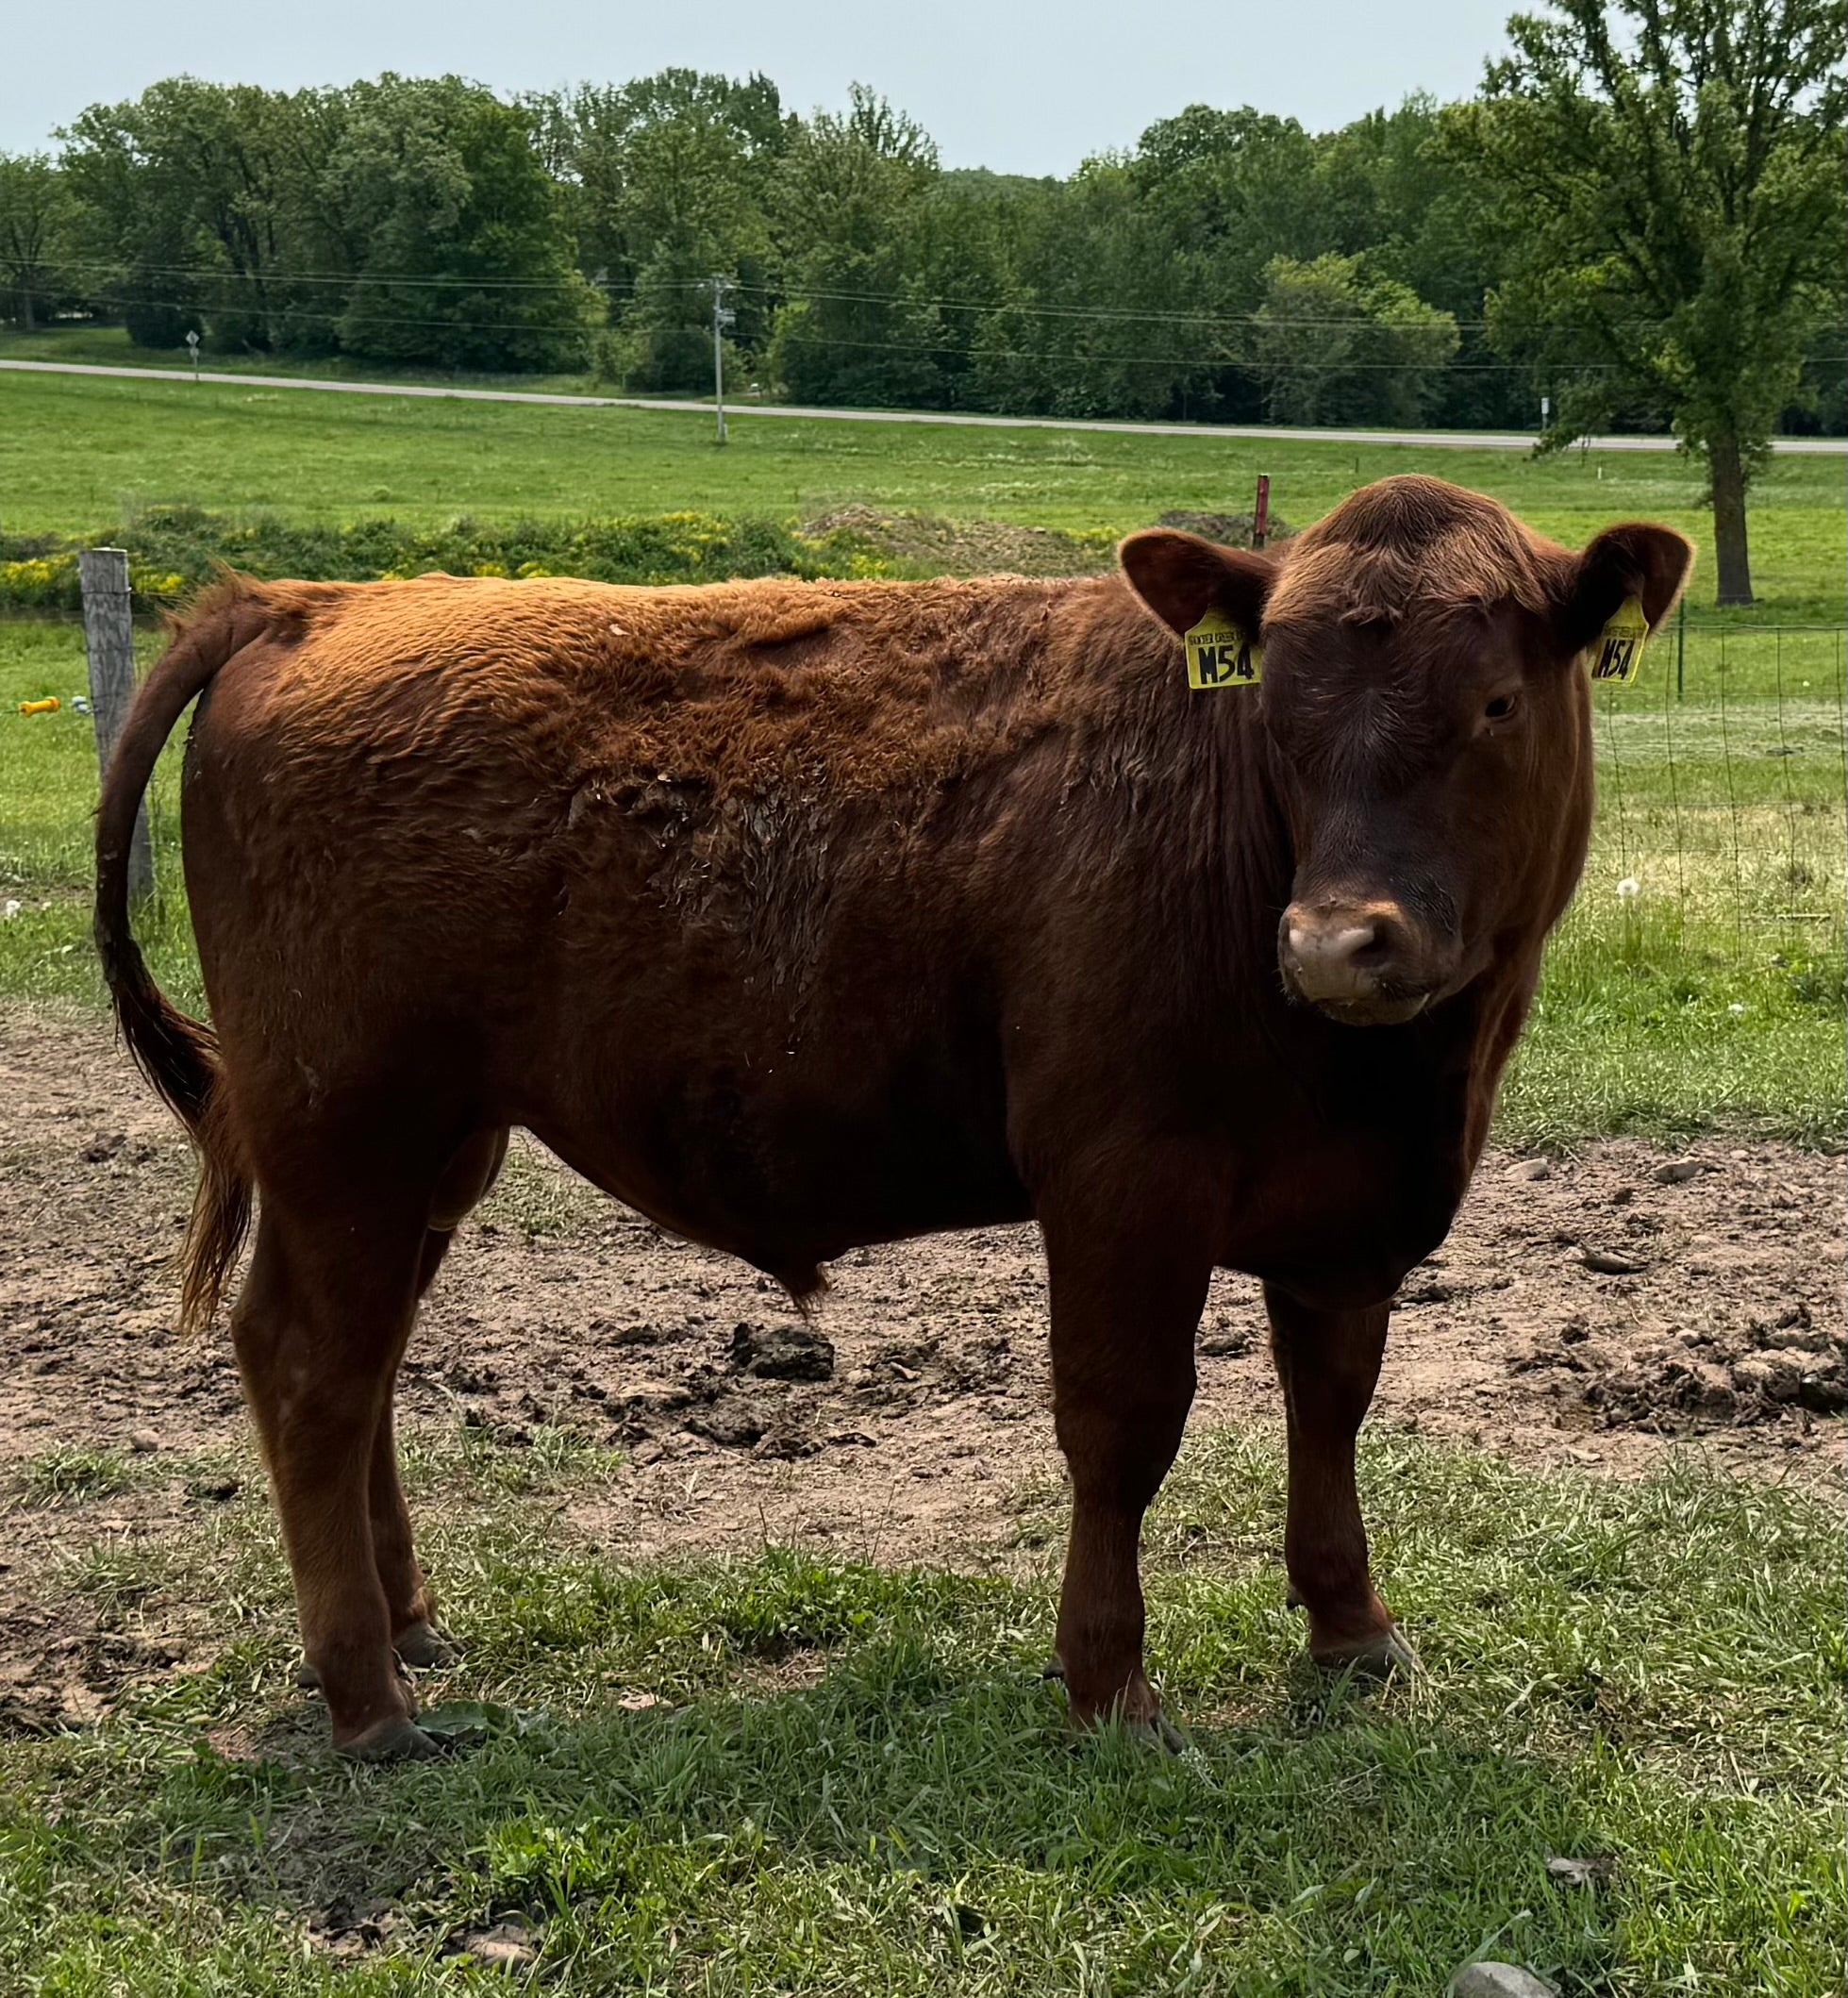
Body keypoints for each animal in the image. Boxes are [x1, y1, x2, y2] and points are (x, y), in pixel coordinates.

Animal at [95, 475, 1692, 1760]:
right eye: (1275, 708)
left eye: (1494, 702)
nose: (1331, 944)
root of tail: (309, 603)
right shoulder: (1120, 1178)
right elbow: (1121, 1419)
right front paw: (1109, 1686)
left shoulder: (1341, 1213)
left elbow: (1330, 1403)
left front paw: (1350, 1625)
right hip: (345, 1130)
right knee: (311, 1367)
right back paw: (368, 1698)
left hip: (427, 1148)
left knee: (358, 1365)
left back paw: (408, 1621)